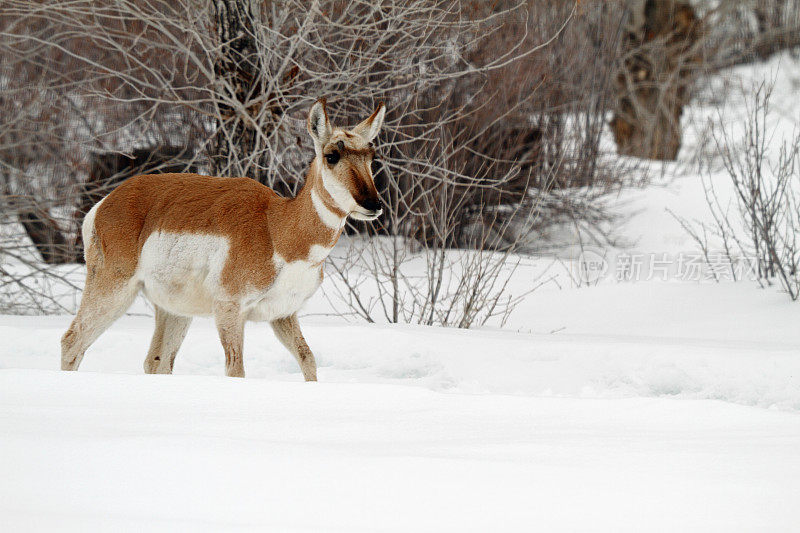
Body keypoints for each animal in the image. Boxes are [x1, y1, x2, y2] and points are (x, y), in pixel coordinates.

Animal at [61, 100, 386, 380]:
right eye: (332, 155)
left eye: (371, 156)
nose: (374, 204)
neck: (276, 228)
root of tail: (105, 203)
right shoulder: (229, 309)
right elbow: (236, 368)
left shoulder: (283, 314)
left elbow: (308, 360)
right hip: (114, 288)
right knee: (72, 341)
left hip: (174, 309)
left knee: (156, 361)